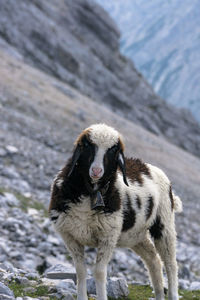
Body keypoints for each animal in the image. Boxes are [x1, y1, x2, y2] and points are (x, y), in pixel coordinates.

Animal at [48, 122, 183, 300]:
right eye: (87, 145)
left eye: (113, 150)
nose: (96, 171)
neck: (90, 192)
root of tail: (147, 166)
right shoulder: (70, 236)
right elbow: (80, 271)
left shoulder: (108, 237)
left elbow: (99, 273)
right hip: (136, 236)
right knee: (153, 260)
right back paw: (159, 294)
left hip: (164, 224)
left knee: (170, 263)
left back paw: (172, 293)